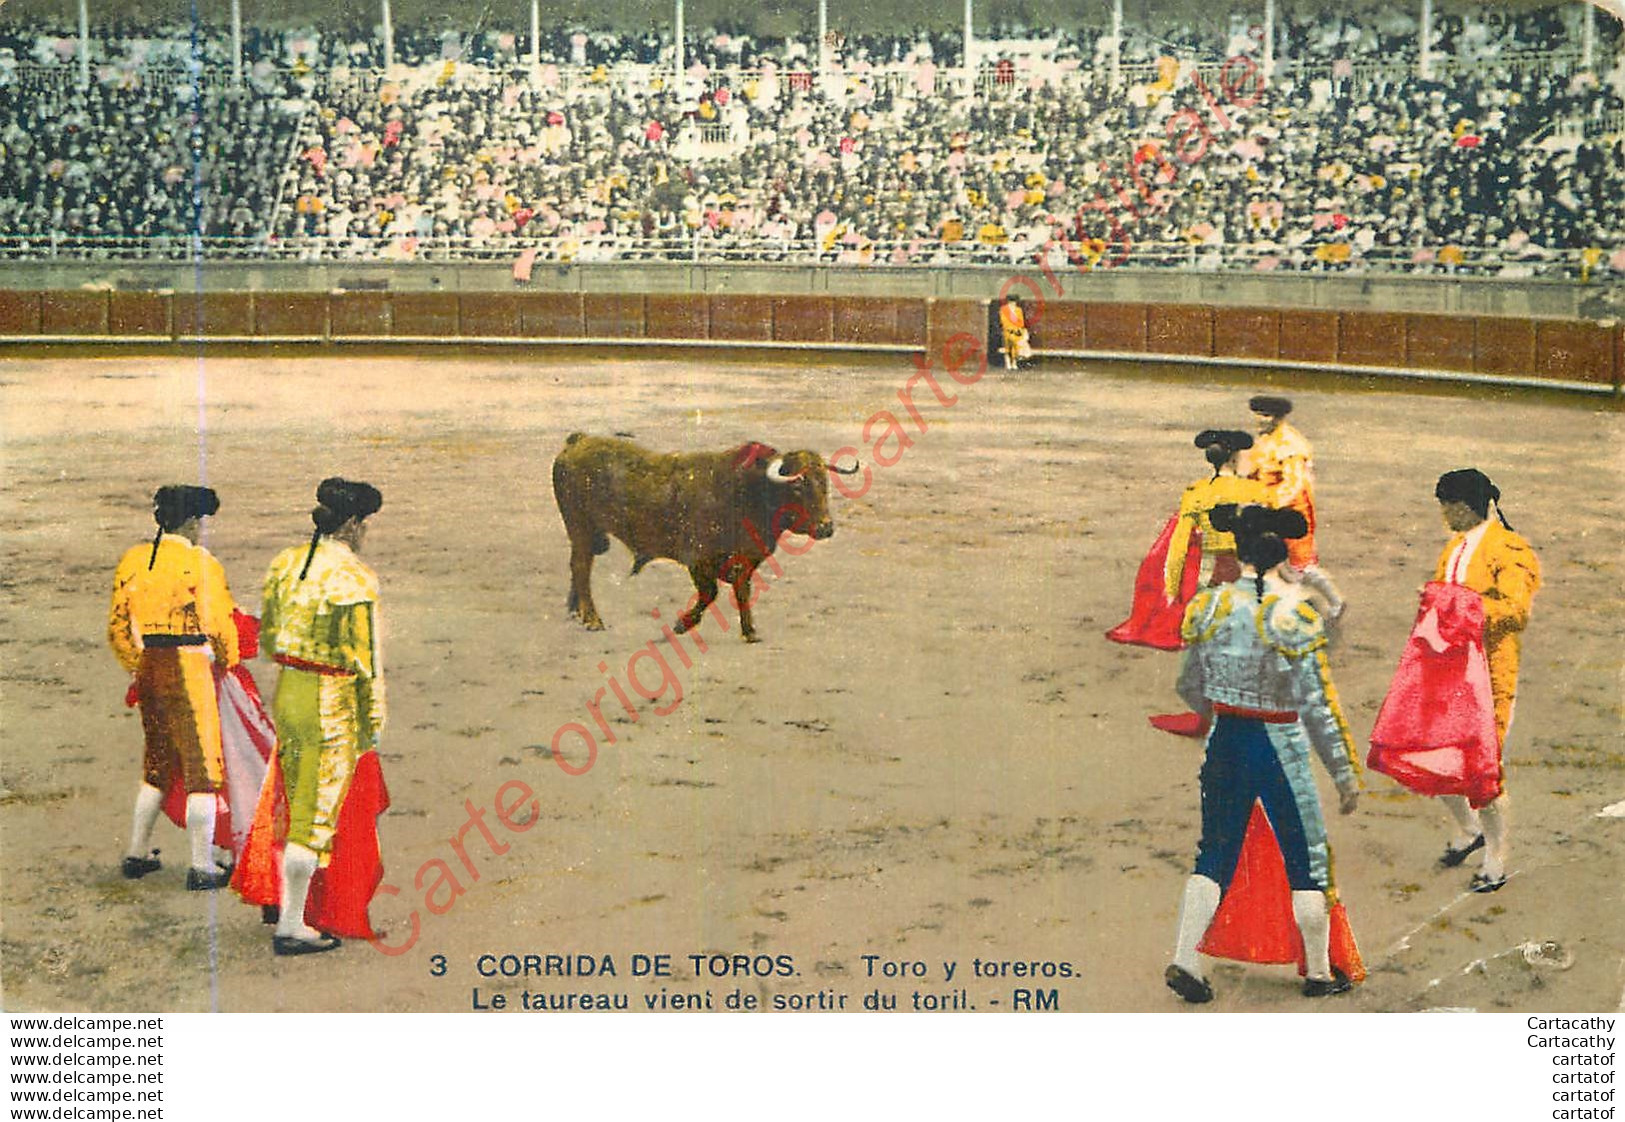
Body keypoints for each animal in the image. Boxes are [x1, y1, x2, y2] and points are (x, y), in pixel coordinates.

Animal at [552, 429, 858, 637]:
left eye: (824, 483)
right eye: (797, 486)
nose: (826, 527)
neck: (748, 490)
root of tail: (578, 441)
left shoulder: (745, 559)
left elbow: (741, 590)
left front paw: (750, 631)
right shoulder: (699, 559)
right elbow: (710, 593)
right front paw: (681, 625)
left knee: (579, 566)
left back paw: (575, 612)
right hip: (580, 528)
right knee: (581, 567)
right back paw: (593, 619)